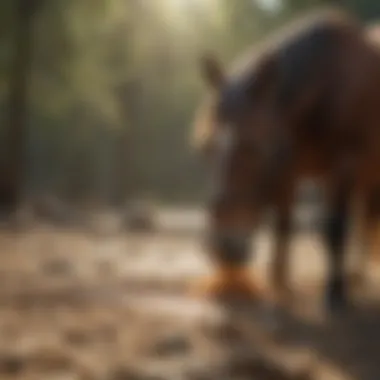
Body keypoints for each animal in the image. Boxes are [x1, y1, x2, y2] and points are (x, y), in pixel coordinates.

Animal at [193, 7, 380, 314]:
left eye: (255, 147)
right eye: (205, 147)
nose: (224, 248)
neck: (329, 82)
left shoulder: (344, 165)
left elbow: (334, 227)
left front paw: (335, 293)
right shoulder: (289, 171)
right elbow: (283, 226)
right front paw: (279, 287)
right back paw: (358, 275)